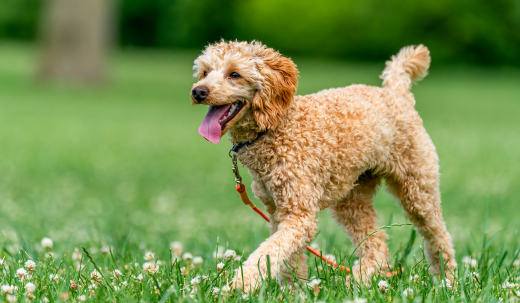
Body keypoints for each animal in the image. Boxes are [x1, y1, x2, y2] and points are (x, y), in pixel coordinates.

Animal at [190, 40, 456, 292]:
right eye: (204, 72)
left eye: (234, 74)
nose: (198, 91)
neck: (277, 127)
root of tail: (397, 92)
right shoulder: (278, 212)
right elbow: (288, 259)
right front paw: (293, 291)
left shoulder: (299, 214)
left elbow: (268, 253)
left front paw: (241, 285)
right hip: (352, 198)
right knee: (377, 244)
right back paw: (358, 282)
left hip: (417, 187)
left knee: (439, 236)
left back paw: (448, 281)